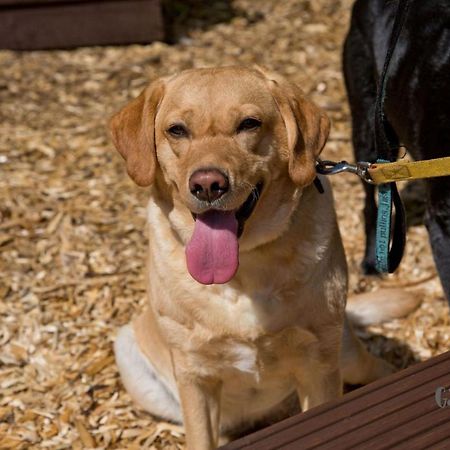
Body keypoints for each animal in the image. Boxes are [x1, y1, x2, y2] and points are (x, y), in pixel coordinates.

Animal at [110, 65, 418, 448]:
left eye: (249, 124)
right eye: (176, 130)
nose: (207, 184)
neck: (243, 270)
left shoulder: (318, 368)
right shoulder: (195, 378)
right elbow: (200, 436)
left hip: (346, 357)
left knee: (380, 369)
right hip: (130, 354)